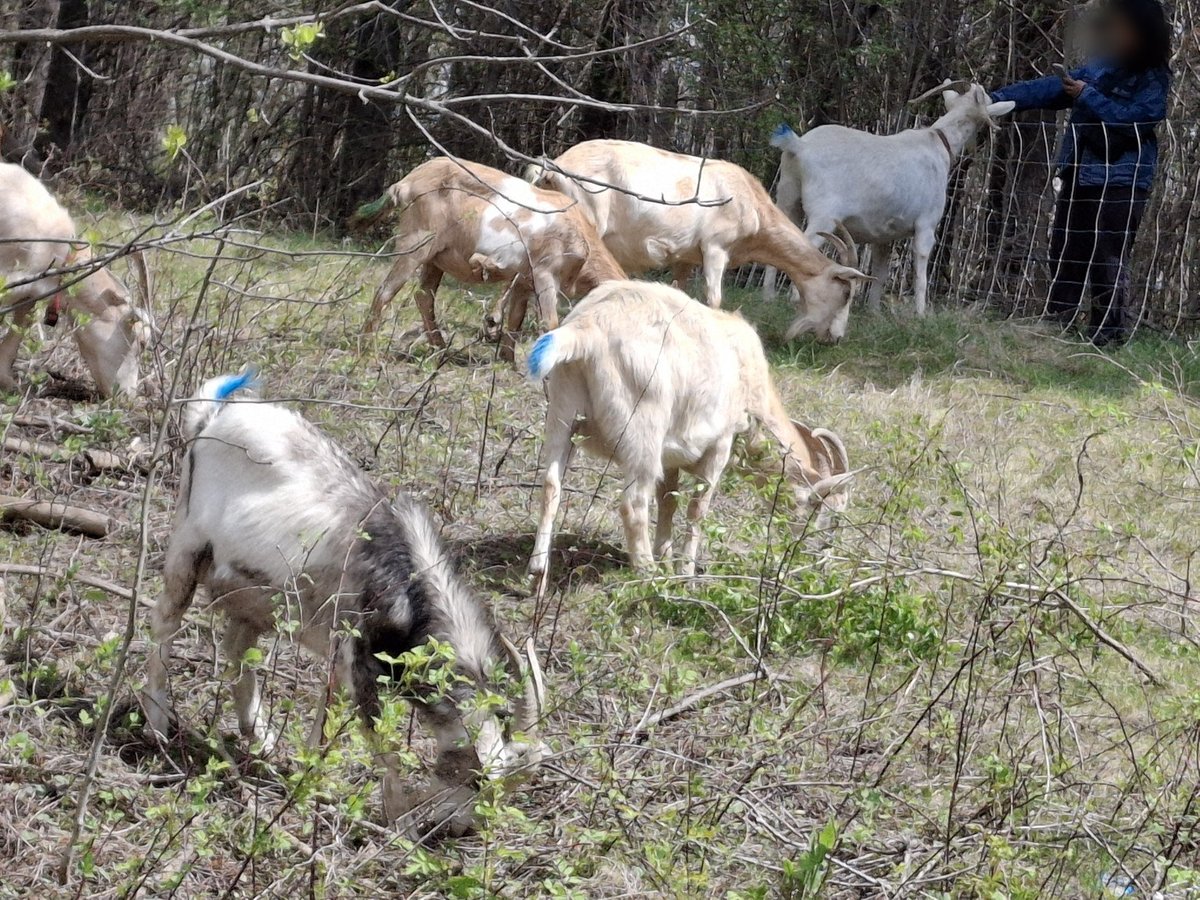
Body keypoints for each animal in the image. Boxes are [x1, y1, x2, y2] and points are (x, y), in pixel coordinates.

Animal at [146, 371, 547, 836]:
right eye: (478, 780)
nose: (456, 828)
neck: (408, 582)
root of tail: (213, 415)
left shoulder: (340, 658)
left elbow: (325, 720)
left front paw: (308, 783)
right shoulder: (359, 663)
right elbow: (383, 747)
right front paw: (401, 827)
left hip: (258, 595)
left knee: (237, 649)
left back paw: (260, 736)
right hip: (188, 546)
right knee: (165, 621)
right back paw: (157, 722)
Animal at [353, 157, 625, 360]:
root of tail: (405, 182)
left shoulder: (524, 279)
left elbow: (516, 318)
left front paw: (507, 362)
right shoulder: (544, 272)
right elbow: (550, 323)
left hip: (435, 257)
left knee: (424, 296)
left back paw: (440, 348)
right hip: (416, 241)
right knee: (387, 290)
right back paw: (367, 349)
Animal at [526, 281, 852, 579]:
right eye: (820, 509)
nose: (815, 562)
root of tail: (587, 328)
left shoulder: (671, 455)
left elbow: (668, 501)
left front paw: (667, 557)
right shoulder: (721, 442)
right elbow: (698, 509)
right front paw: (684, 572)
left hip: (562, 411)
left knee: (551, 483)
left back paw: (537, 571)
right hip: (643, 427)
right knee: (633, 503)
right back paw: (647, 574)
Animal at [528, 139, 868, 342]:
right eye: (845, 293)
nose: (836, 338)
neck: (751, 203)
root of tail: (552, 167)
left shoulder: (686, 258)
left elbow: (679, 293)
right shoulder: (715, 248)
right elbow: (714, 300)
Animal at [767, 81, 1016, 319]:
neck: (938, 143)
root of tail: (799, 146)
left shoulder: (885, 234)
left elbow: (881, 269)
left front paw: (874, 312)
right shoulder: (926, 225)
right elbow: (921, 271)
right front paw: (921, 314)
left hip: (788, 197)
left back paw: (768, 296)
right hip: (824, 215)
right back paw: (796, 299)